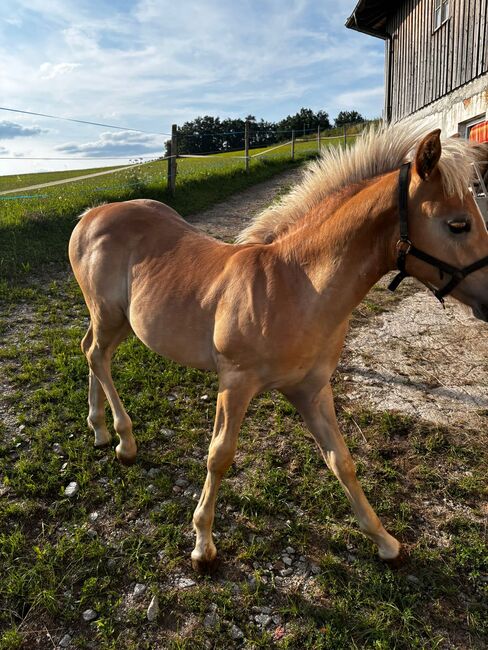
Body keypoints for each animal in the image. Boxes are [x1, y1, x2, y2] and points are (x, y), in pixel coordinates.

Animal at [67, 124, 488, 568]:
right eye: (458, 225)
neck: (295, 285)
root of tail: (91, 215)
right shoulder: (234, 384)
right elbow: (219, 455)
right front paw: (203, 546)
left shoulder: (312, 389)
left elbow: (342, 460)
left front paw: (385, 541)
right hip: (109, 314)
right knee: (96, 356)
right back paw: (125, 442)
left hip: (118, 322)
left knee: (93, 353)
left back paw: (100, 431)